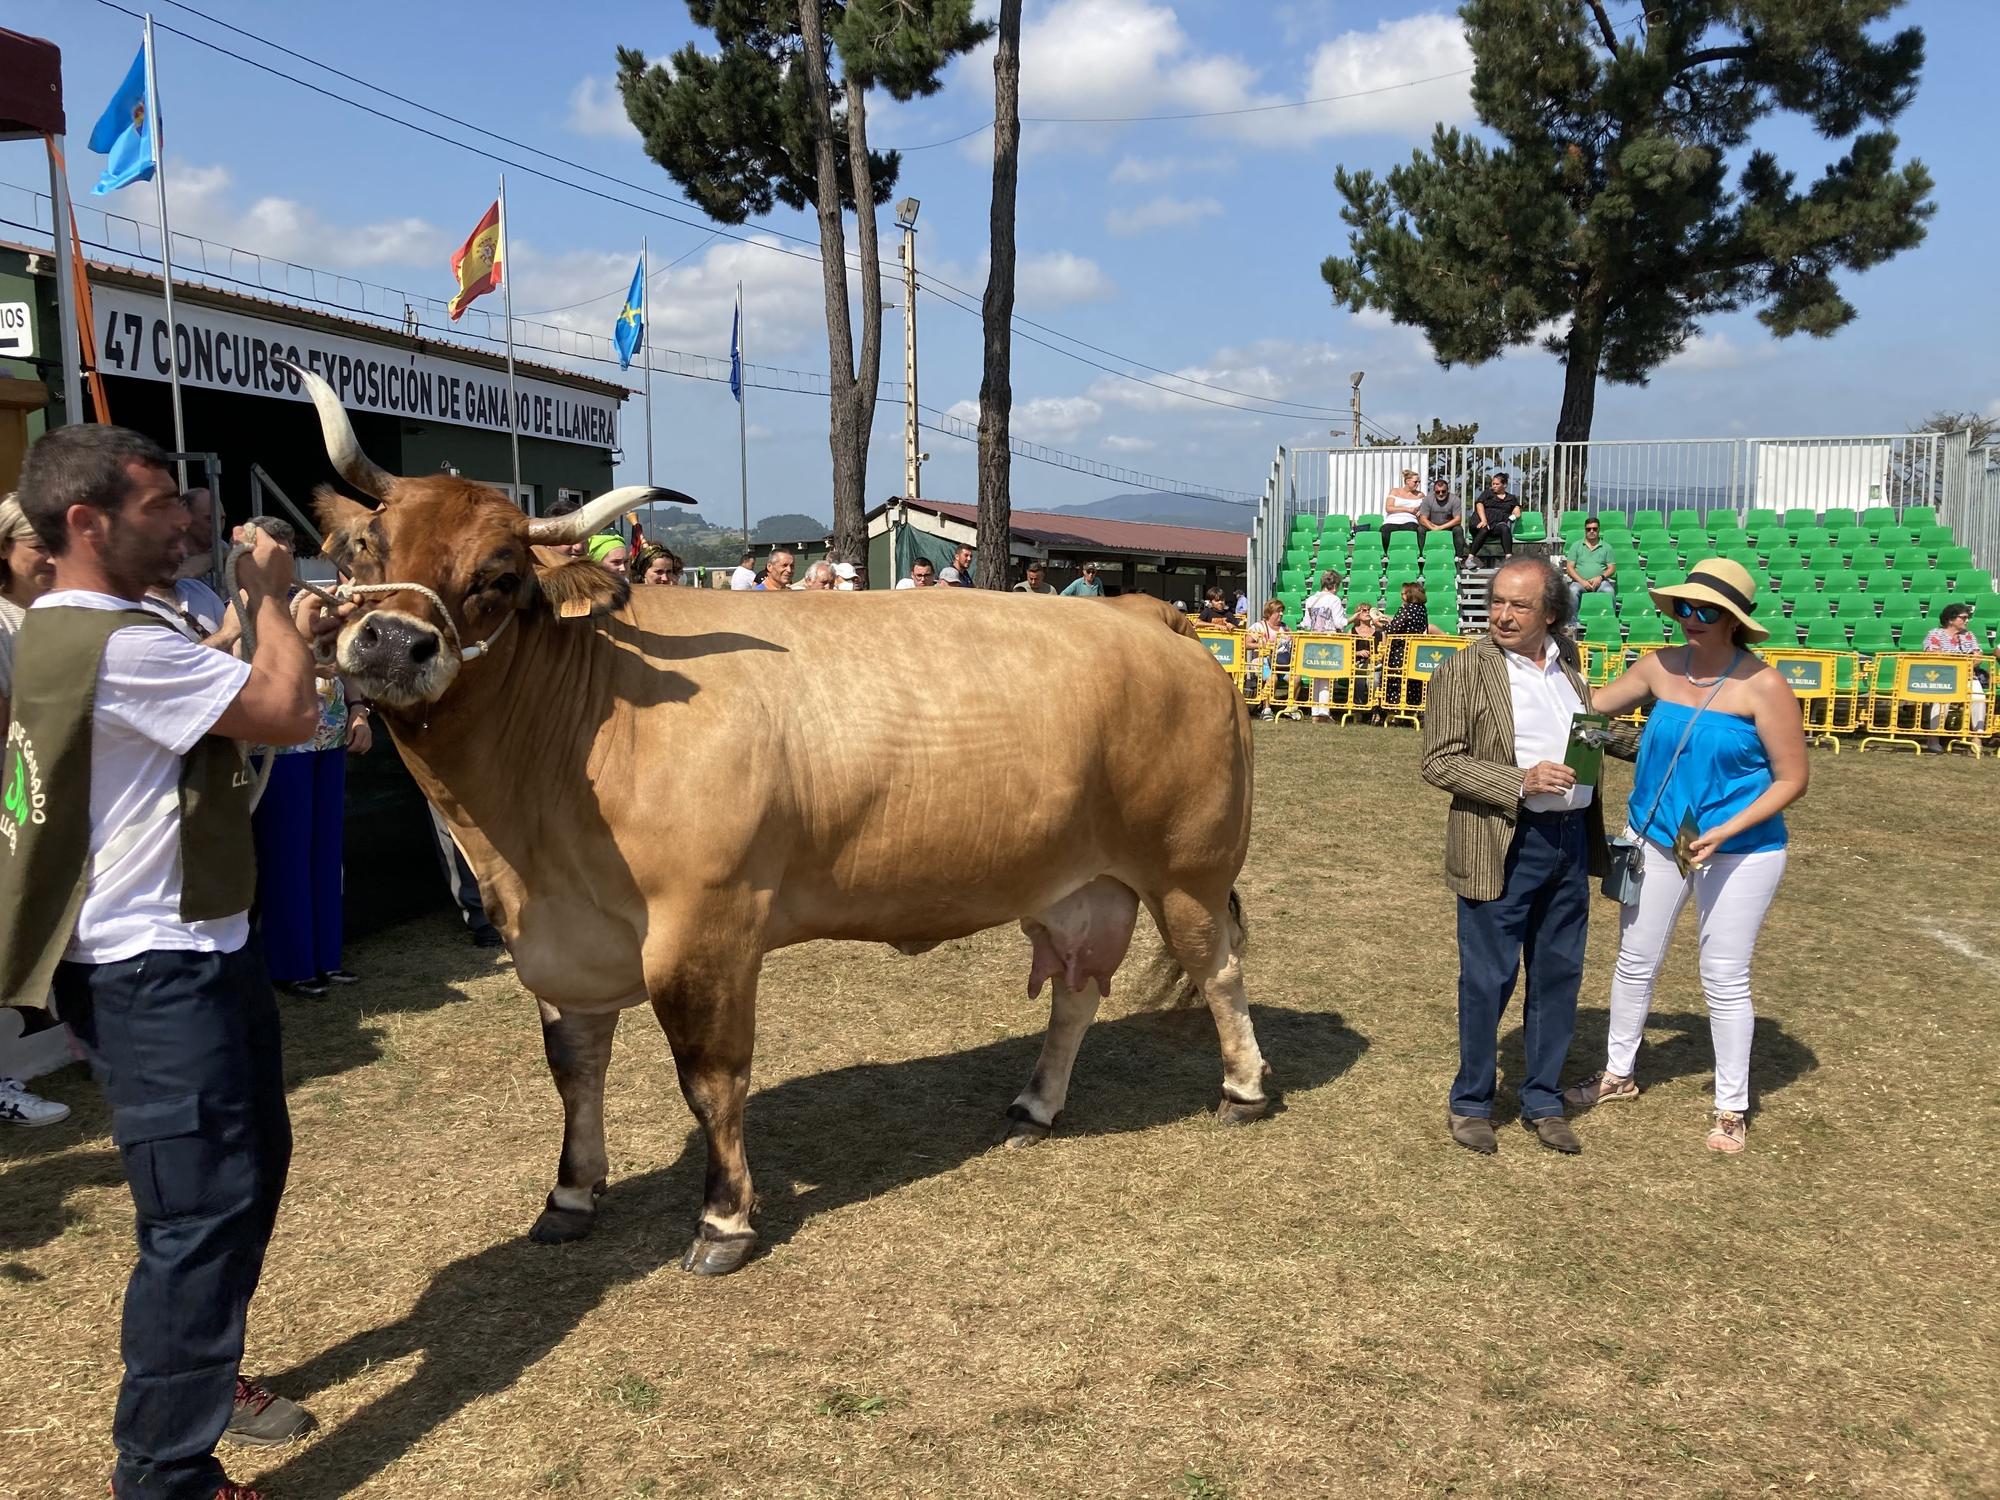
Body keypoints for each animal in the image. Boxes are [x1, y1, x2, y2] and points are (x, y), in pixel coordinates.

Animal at [290, 368, 1272, 1280]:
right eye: (367, 546)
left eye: (497, 577)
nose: (392, 642)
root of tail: (1153, 617)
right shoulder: (558, 940)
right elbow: (574, 1068)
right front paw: (569, 1195)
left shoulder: (704, 927)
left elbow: (711, 1078)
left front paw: (724, 1222)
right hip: (1075, 879)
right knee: (1076, 988)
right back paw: (1035, 1107)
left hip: (1188, 868)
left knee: (1217, 968)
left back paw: (1244, 1090)